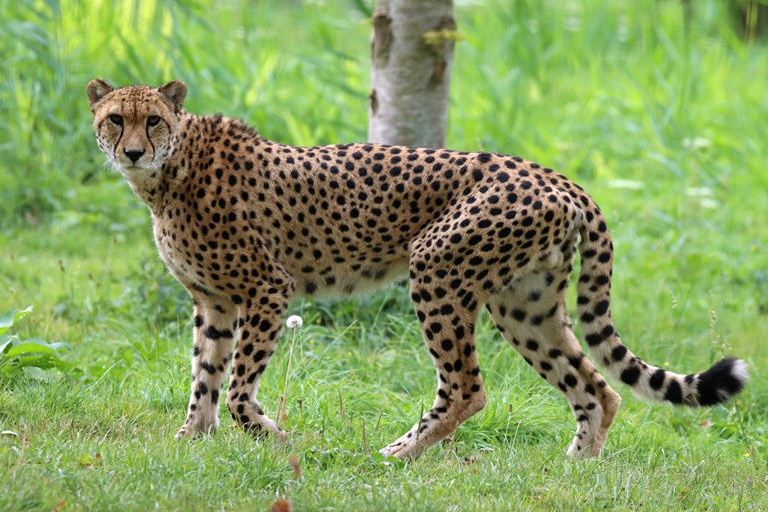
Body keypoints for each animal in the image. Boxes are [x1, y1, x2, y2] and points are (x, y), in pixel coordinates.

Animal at [86, 79, 748, 460]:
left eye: (153, 120)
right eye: (115, 119)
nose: (132, 151)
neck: (170, 172)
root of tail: (555, 176)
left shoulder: (269, 290)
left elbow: (239, 386)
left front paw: (273, 437)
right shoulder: (215, 302)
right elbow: (205, 376)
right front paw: (191, 442)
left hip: (436, 266)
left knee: (468, 389)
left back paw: (396, 455)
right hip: (525, 302)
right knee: (596, 386)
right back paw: (577, 469)